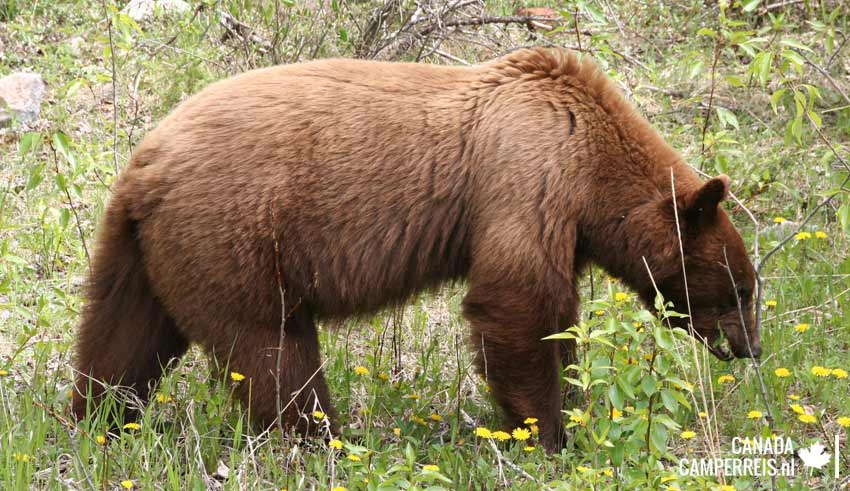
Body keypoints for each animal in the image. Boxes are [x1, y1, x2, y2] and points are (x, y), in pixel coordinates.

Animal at [72, 48, 759, 452]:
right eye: (741, 289)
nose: (750, 348)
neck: (594, 163)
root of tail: (146, 167)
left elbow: (555, 317)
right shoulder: (530, 173)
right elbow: (516, 303)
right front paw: (548, 432)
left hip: (143, 250)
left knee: (121, 337)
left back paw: (99, 420)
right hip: (233, 235)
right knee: (272, 350)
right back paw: (317, 441)